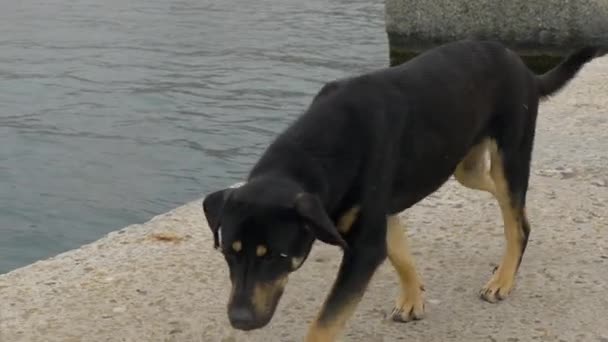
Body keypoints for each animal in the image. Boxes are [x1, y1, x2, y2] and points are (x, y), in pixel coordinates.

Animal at [202, 39, 600, 340]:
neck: (322, 147)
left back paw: (502, 279)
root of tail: (523, 67)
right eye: (228, 253)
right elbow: (400, 253)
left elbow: (325, 322)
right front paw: (413, 299)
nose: (239, 320)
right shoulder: (380, 216)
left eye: (276, 256)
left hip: (509, 155)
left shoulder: (363, 248)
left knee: (515, 219)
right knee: (511, 205)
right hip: (466, 168)